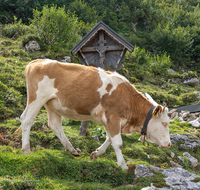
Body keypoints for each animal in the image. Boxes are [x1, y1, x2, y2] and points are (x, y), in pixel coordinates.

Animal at [19, 59, 170, 171]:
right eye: (164, 123)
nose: (169, 144)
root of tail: (37, 61)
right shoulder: (113, 118)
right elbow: (118, 143)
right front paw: (123, 166)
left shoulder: (109, 120)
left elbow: (109, 139)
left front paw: (96, 153)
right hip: (37, 98)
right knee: (27, 120)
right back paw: (26, 150)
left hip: (52, 104)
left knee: (55, 125)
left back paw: (71, 149)